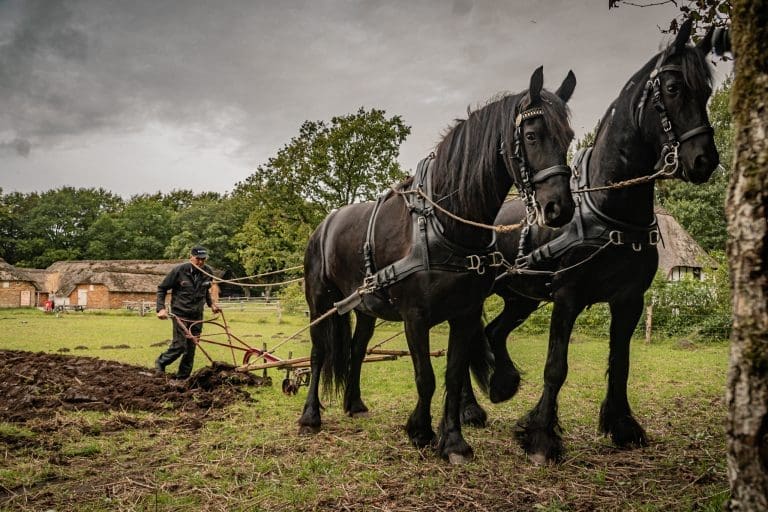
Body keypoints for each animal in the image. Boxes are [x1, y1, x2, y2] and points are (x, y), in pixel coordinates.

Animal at [300, 66, 576, 462]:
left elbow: (453, 375)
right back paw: (310, 416)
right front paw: (420, 429)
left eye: (569, 137)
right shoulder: (415, 316)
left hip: (365, 308)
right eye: (532, 135)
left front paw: (454, 440)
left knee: (356, 348)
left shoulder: (464, 313)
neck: (442, 221)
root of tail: (324, 224)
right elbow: (425, 377)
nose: (560, 208)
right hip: (320, 301)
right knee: (319, 352)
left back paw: (354, 403)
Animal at [468, 20, 720, 462]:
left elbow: (620, 364)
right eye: (674, 89)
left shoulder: (629, 301)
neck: (610, 208)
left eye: (706, 92)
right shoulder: (568, 295)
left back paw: (502, 383)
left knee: (494, 332)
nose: (705, 160)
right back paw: (470, 409)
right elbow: (556, 367)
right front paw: (541, 437)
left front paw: (623, 426)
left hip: (521, 296)